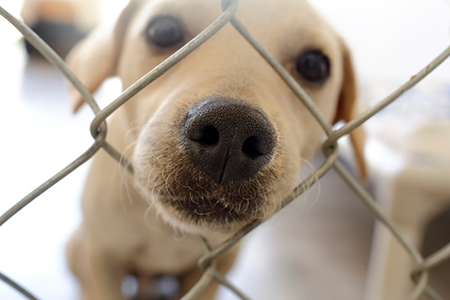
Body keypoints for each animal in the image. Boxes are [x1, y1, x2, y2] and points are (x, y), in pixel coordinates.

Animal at [66, 0, 366, 298]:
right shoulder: (101, 256)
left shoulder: (217, 266)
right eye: (163, 30)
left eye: (313, 64)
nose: (233, 130)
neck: (168, 230)